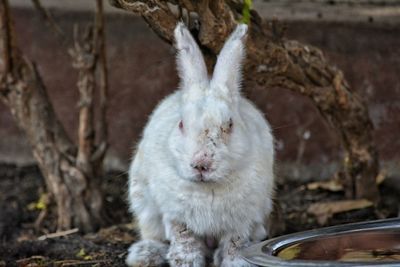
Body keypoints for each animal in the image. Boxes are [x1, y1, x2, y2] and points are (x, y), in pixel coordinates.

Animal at [126, 22, 274, 266]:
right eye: (181, 124)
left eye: (229, 125)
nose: (201, 164)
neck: (208, 188)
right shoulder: (176, 218)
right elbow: (184, 242)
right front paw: (185, 262)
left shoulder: (242, 221)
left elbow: (234, 244)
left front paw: (236, 263)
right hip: (144, 206)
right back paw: (144, 255)